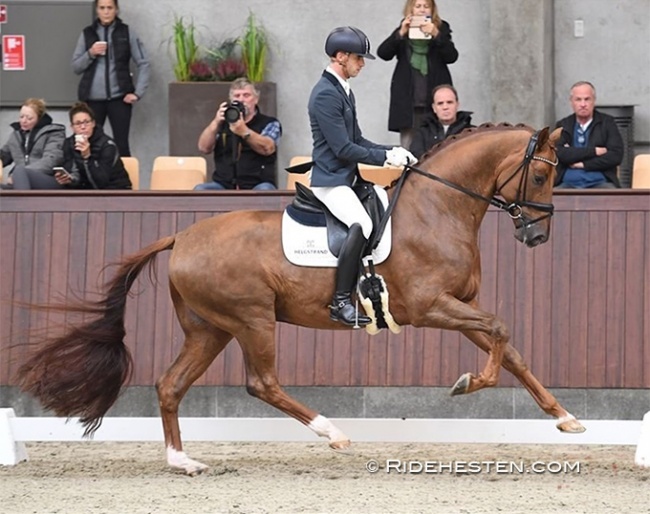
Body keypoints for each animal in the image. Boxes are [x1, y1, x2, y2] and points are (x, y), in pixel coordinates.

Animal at [16, 123, 584, 472]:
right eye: (540, 174)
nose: (537, 237)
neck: (438, 207)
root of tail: (181, 238)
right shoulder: (430, 307)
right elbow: (501, 332)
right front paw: (468, 384)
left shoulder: (457, 307)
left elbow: (509, 348)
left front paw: (563, 417)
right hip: (251, 320)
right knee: (262, 383)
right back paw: (332, 432)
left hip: (209, 328)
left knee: (170, 385)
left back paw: (183, 462)